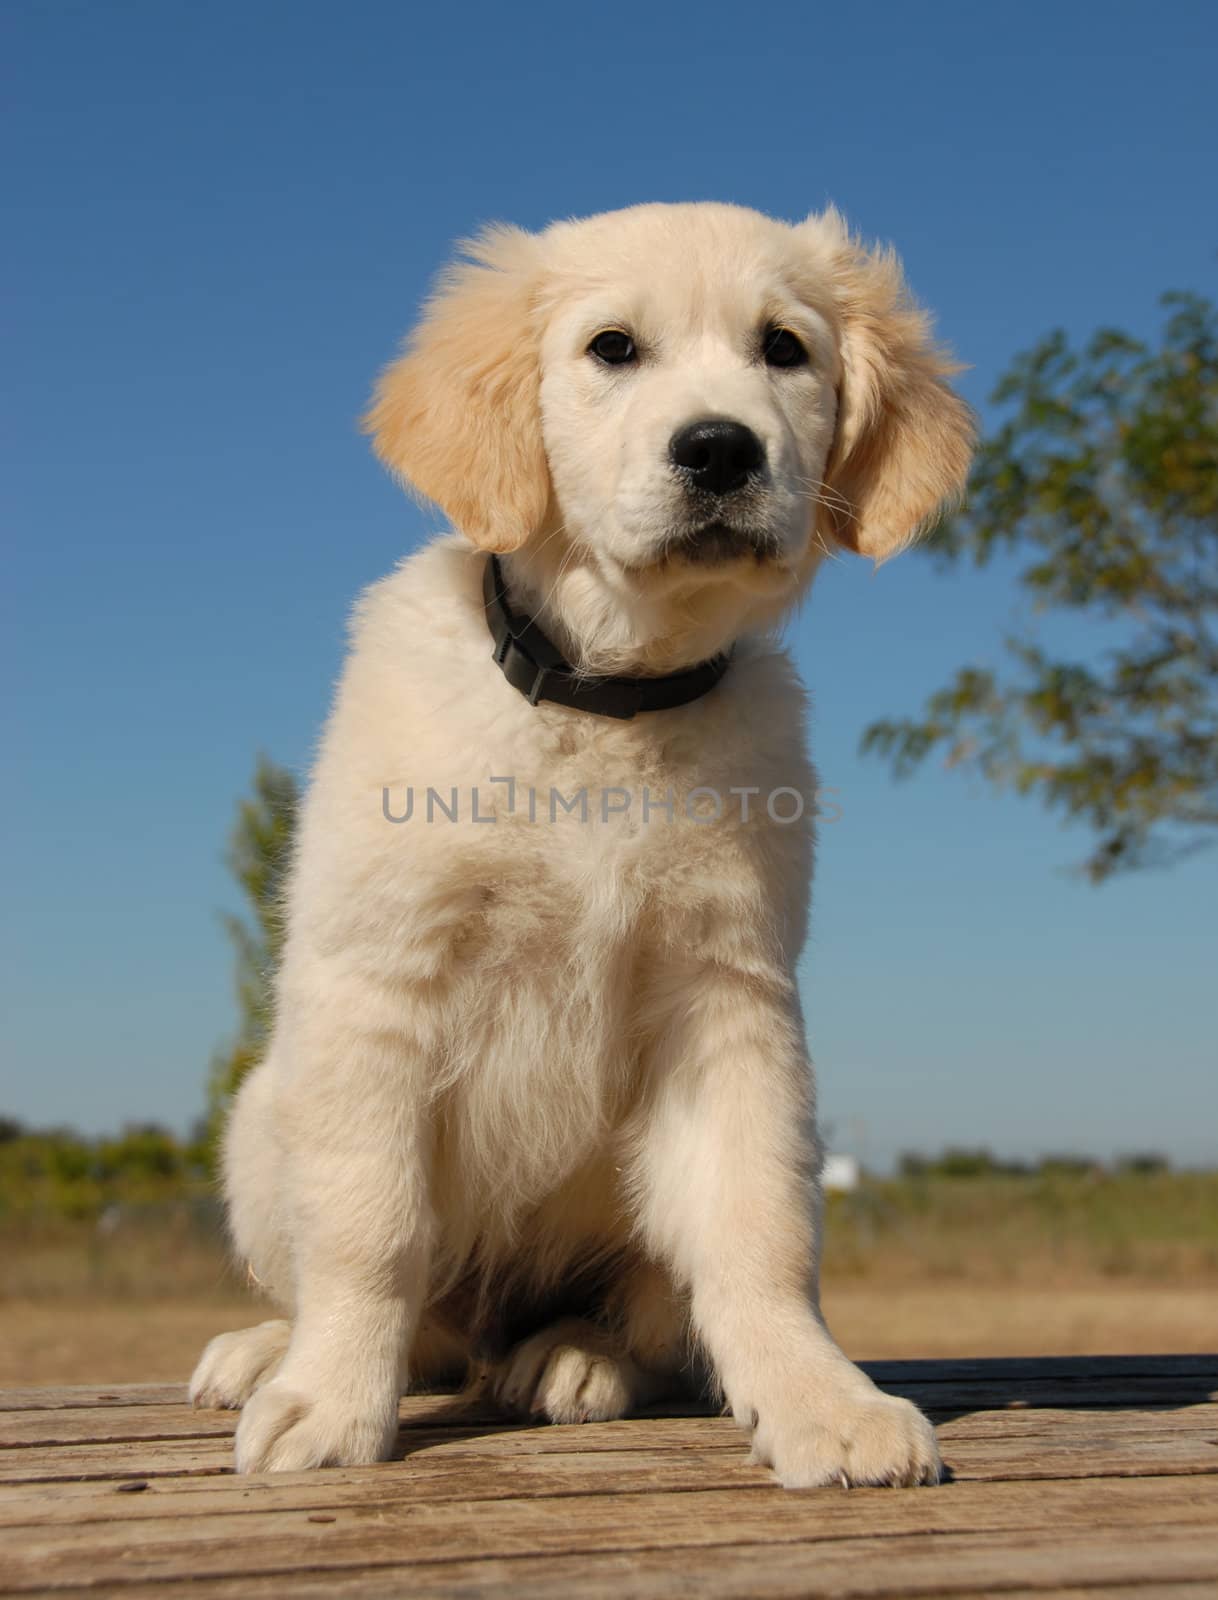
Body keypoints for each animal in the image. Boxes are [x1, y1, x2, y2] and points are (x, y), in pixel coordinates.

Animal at [190, 203, 966, 1484]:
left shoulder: (725, 995)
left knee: (648, 1314)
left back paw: (574, 1356)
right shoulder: (380, 979)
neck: (608, 698)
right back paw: (273, 1352)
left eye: (784, 350)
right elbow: (368, 1227)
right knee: (413, 1318)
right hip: (264, 1113)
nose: (721, 451)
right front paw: (329, 1396)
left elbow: (757, 1233)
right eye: (612, 349)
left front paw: (820, 1398)